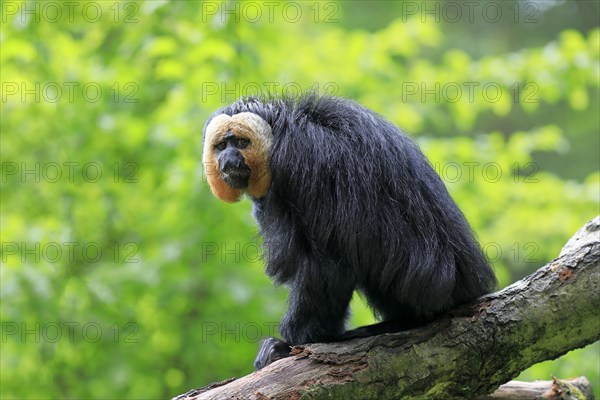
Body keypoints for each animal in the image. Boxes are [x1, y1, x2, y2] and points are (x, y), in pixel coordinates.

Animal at [202, 94, 496, 368]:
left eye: (241, 143)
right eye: (221, 146)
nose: (228, 159)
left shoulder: (306, 161)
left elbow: (329, 264)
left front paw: (290, 343)